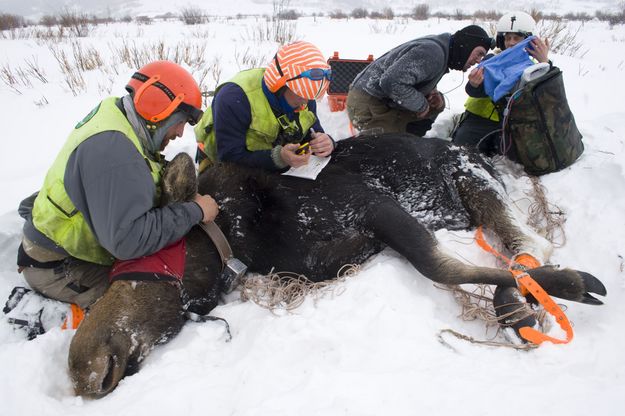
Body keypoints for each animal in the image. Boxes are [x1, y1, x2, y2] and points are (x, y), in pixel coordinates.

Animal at [68, 135, 604, 398]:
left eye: (146, 256)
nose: (81, 368)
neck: (248, 231)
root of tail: (479, 150)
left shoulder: (375, 207)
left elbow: (441, 267)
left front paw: (570, 285)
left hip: (473, 181)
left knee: (528, 240)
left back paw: (521, 302)